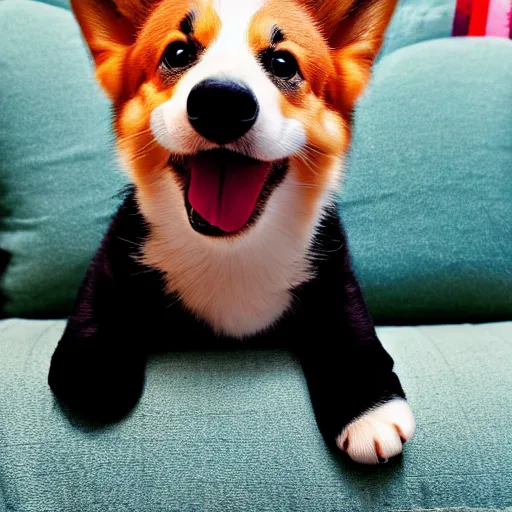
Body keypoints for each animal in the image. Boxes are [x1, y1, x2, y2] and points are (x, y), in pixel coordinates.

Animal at [49, 0, 416, 464]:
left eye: (282, 62)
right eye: (178, 53)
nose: (221, 102)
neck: (230, 251)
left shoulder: (332, 265)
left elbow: (349, 323)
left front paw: (370, 413)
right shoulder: (117, 252)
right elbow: (98, 308)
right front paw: (97, 373)